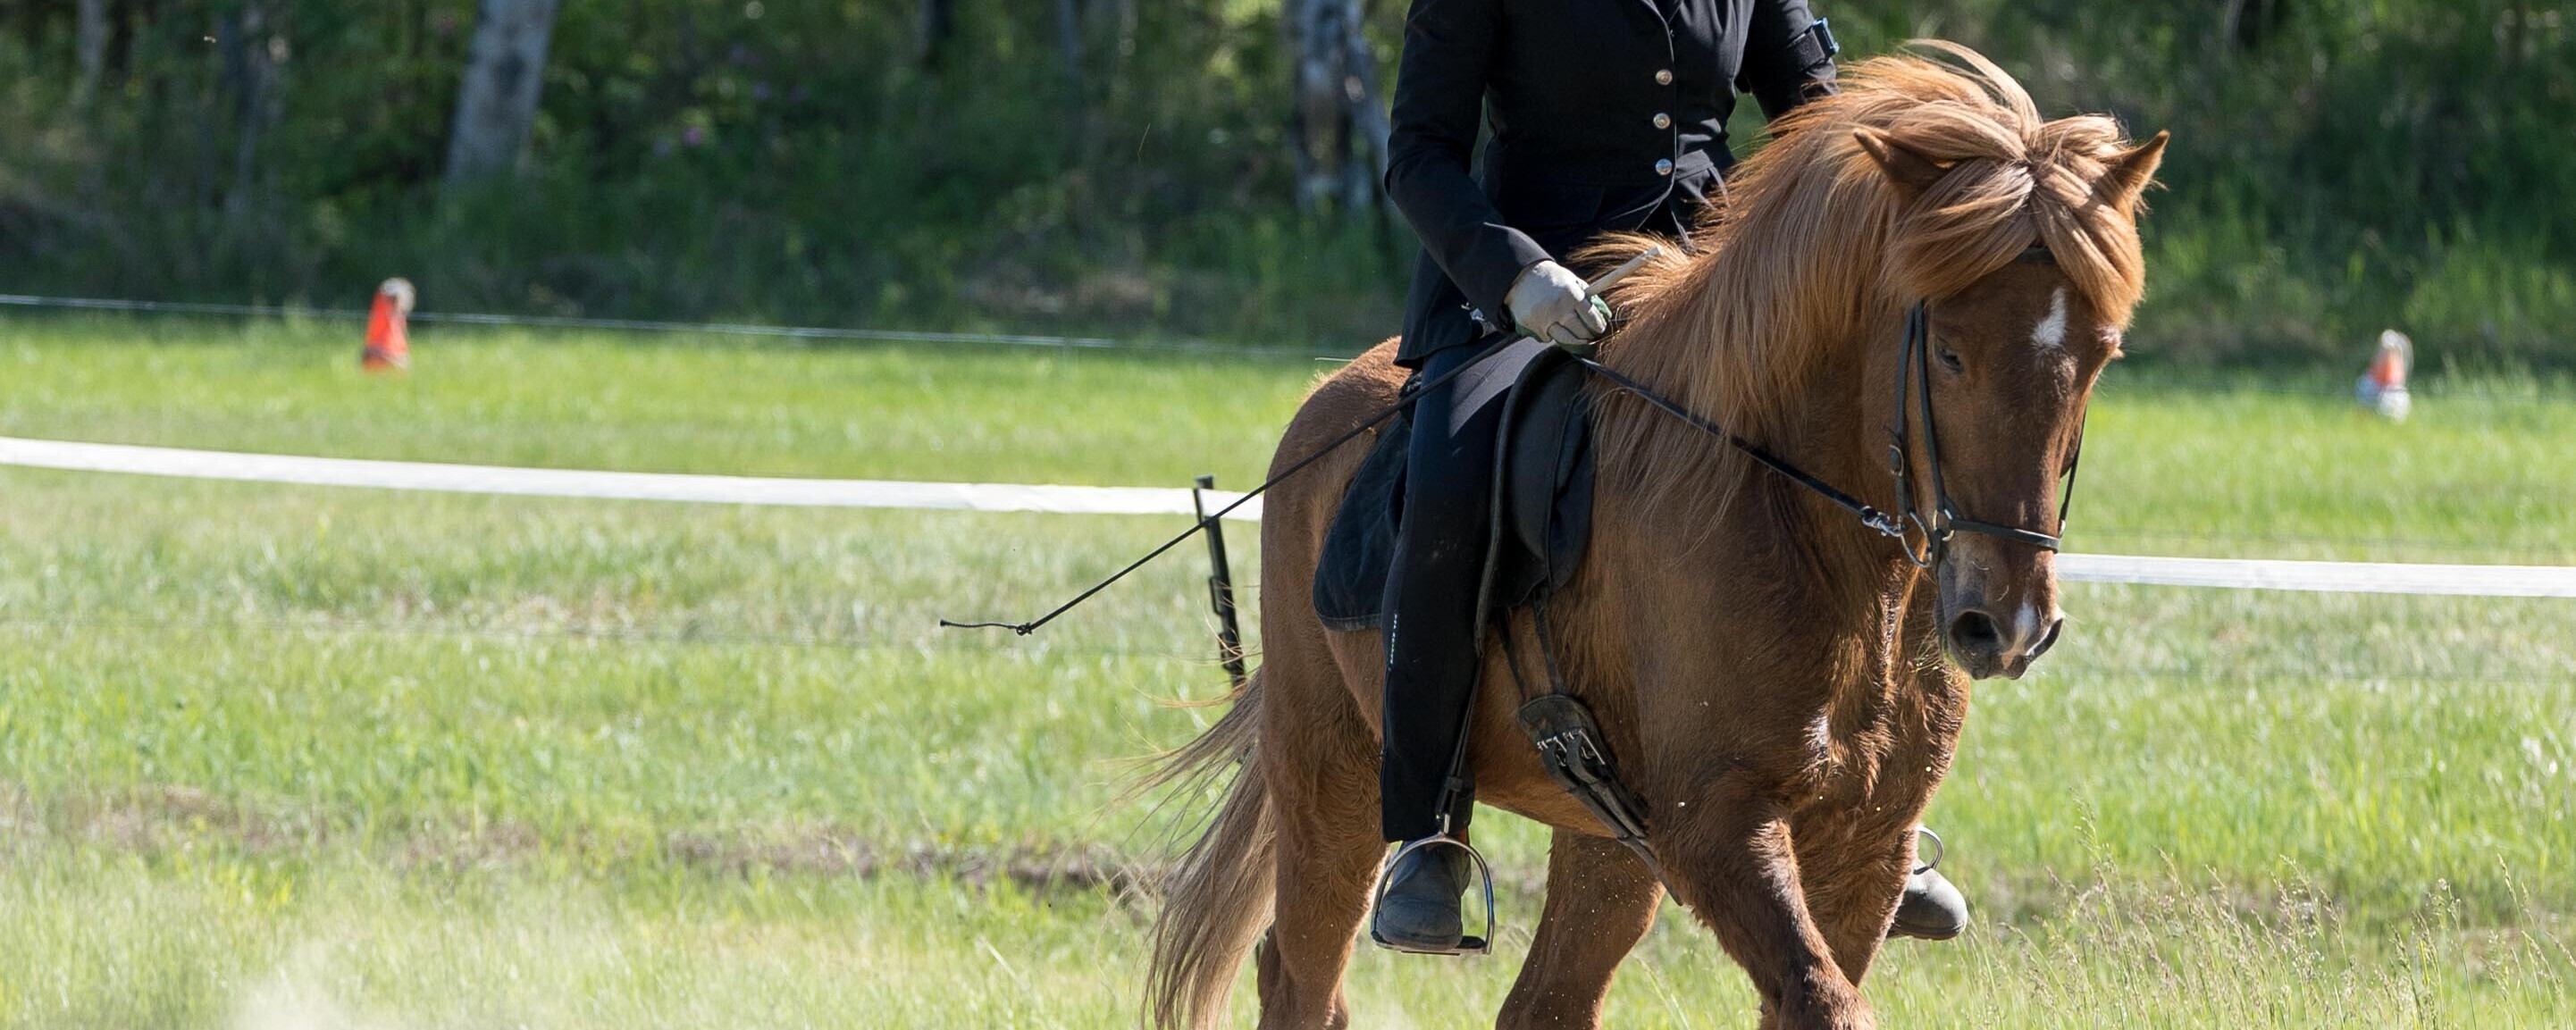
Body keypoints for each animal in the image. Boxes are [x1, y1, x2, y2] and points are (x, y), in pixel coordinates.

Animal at [1144, 43, 2167, 1030]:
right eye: (1949, 353)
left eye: (2101, 355)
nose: (2007, 624)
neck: (1816, 539)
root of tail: (1324, 403)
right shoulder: (1716, 826)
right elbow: (1824, 1001)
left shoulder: (1865, 846)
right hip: (1334, 776)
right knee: (1301, 978)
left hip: (1603, 839)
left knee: (1544, 1003)